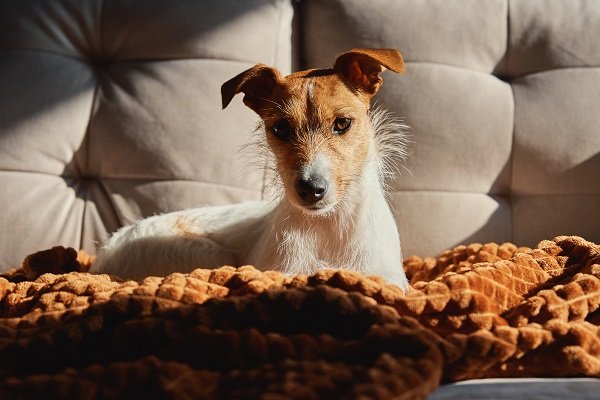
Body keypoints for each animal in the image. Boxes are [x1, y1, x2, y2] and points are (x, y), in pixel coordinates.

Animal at [92, 48, 412, 290]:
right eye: (280, 129)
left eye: (343, 123)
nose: (311, 189)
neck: (326, 227)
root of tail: (102, 257)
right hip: (205, 254)